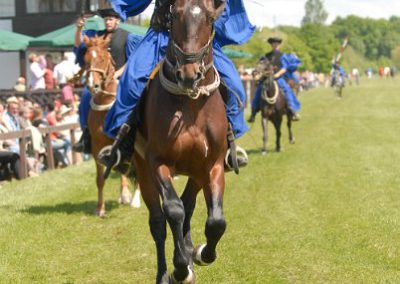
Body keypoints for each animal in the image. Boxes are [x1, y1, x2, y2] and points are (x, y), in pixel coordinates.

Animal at [82, 36, 140, 217]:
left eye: (102, 59)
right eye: (86, 60)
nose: (92, 85)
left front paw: (133, 199)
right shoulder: (97, 147)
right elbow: (100, 179)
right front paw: (100, 209)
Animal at [133, 0, 228, 282]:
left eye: (210, 18)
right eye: (174, 16)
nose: (189, 74)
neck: (191, 106)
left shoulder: (213, 164)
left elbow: (216, 221)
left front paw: (201, 253)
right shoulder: (157, 162)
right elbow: (173, 211)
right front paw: (179, 267)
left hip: (196, 172)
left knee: (189, 203)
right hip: (143, 171)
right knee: (158, 221)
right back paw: (166, 272)